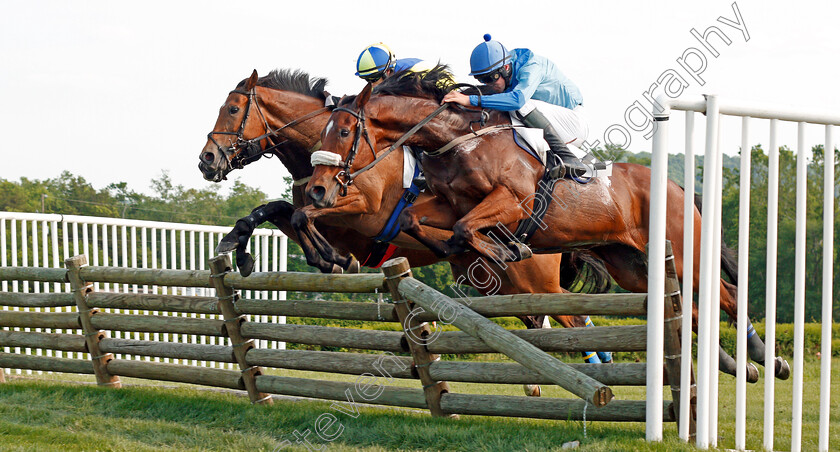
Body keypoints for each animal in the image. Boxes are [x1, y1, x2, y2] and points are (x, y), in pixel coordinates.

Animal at [197, 69, 616, 384]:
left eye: (232, 109)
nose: (206, 160)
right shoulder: (322, 207)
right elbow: (279, 210)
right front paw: (240, 246)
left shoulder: (364, 213)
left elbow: (303, 217)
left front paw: (334, 260)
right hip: (502, 284)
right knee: (539, 322)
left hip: (533, 281)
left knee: (574, 318)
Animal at [306, 65, 792, 380]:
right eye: (323, 131)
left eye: (344, 132)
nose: (318, 190)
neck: (457, 139)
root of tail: (678, 187)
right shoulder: (449, 203)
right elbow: (419, 219)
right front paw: (488, 249)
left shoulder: (513, 200)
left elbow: (467, 228)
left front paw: (507, 247)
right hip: (631, 264)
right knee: (689, 310)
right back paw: (741, 366)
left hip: (683, 252)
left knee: (725, 296)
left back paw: (767, 359)